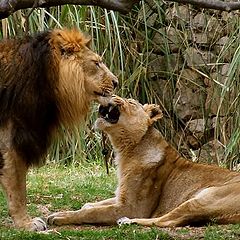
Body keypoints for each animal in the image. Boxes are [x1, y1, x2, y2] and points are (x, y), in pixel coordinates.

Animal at [47, 95, 240, 227]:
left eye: (131, 103)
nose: (111, 95)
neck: (126, 151)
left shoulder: (132, 207)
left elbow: (93, 213)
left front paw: (60, 216)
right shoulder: (121, 196)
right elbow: (92, 205)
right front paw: (81, 207)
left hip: (204, 198)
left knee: (165, 221)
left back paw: (127, 221)